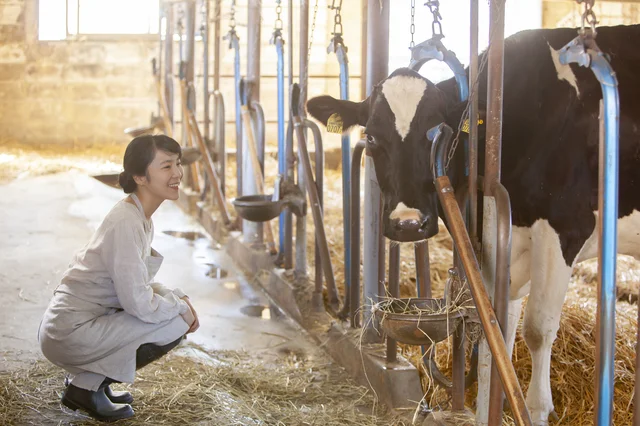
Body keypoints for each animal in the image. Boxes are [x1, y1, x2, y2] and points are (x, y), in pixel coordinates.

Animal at [304, 24, 640, 426]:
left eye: (437, 132)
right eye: (370, 138)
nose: (408, 224)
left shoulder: (564, 227)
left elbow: (537, 329)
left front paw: (536, 409)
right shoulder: (507, 244)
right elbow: (499, 330)